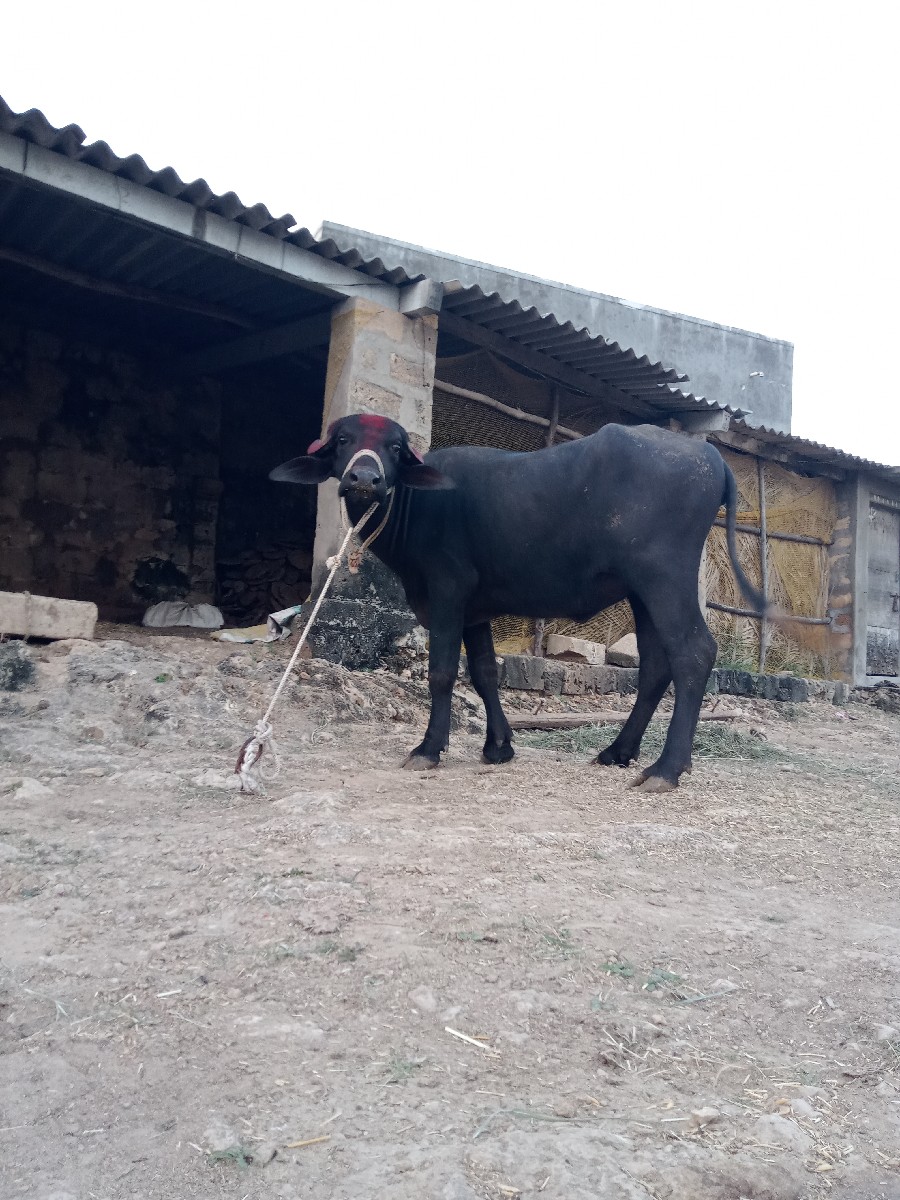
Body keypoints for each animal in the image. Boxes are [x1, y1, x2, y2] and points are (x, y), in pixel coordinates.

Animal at [270, 412, 766, 792]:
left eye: (394, 447)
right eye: (343, 440)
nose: (364, 479)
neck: (420, 505)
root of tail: (710, 458)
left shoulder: (447, 593)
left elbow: (443, 673)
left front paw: (429, 748)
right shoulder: (475, 611)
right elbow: (485, 673)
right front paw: (498, 746)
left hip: (665, 579)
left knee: (693, 654)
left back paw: (666, 768)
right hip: (642, 593)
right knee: (656, 667)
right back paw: (618, 751)